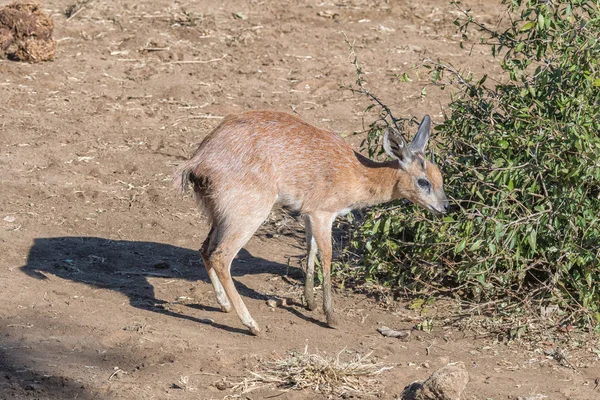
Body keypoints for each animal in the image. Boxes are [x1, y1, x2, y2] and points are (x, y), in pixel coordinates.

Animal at [172, 111, 446, 336]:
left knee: (205, 248)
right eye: (423, 181)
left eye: (440, 177)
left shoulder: (308, 214)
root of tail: (199, 160)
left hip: (221, 216)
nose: (445, 207)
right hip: (247, 217)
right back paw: (252, 325)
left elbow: (310, 248)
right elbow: (327, 256)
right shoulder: (324, 214)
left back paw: (225, 306)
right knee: (221, 256)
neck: (357, 173)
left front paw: (309, 302)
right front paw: (330, 316)